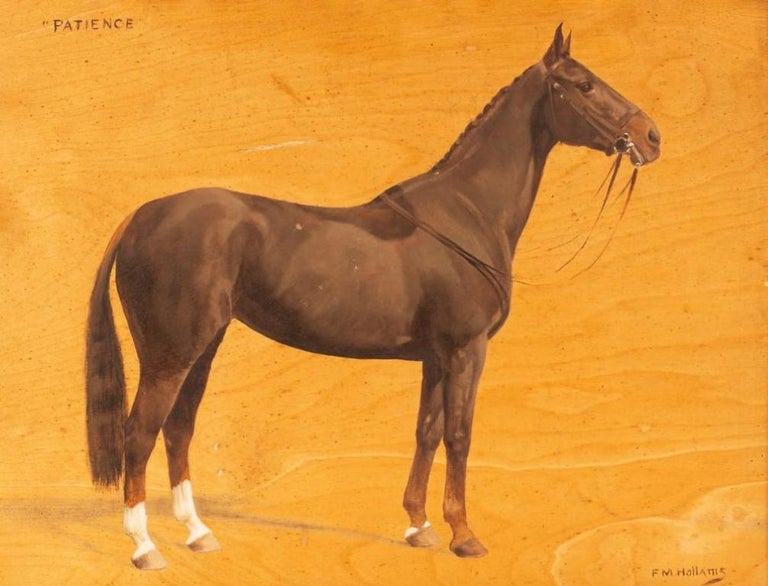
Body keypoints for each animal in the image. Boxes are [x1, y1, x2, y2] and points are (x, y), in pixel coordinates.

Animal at [85, 25, 660, 569]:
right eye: (584, 85)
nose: (649, 135)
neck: (468, 210)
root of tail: (140, 216)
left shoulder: (436, 358)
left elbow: (427, 431)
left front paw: (419, 527)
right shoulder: (466, 350)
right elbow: (460, 435)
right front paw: (464, 536)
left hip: (202, 350)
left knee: (178, 429)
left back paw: (198, 534)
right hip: (170, 357)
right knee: (139, 434)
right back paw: (145, 547)